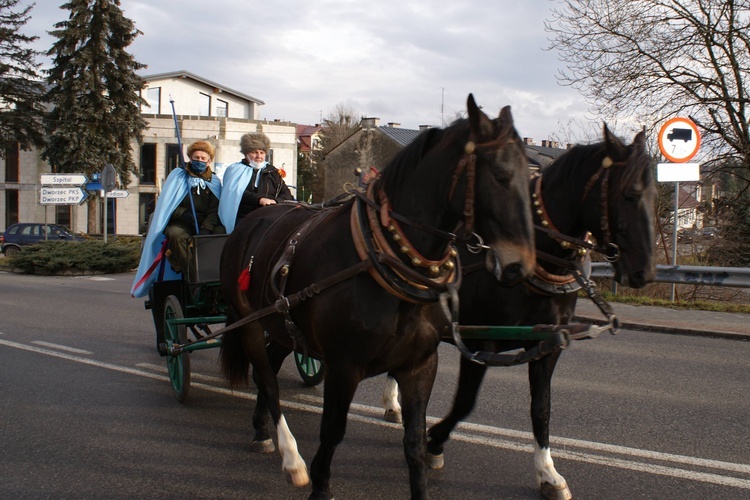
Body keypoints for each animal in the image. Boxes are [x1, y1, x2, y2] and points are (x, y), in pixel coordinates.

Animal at [220, 94, 536, 500]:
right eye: (498, 174)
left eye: (530, 179)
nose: (520, 266)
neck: (383, 259)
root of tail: (249, 223)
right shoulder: (344, 366)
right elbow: (332, 432)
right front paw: (320, 485)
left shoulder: (420, 365)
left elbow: (414, 443)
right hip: (249, 323)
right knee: (267, 379)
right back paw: (291, 457)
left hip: (282, 323)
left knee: (271, 368)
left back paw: (262, 428)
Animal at [384, 123, 660, 498]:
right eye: (630, 195)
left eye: (655, 195)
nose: (644, 273)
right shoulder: (479, 343)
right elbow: (465, 402)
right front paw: (434, 443)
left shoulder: (547, 345)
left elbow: (541, 408)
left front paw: (548, 473)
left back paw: (392, 403)